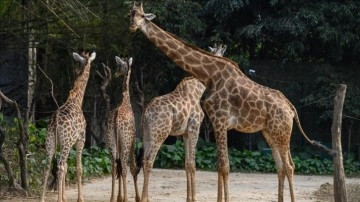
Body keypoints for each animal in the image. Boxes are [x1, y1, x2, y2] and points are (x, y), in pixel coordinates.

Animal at [40, 51, 95, 202]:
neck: (77, 99)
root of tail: (55, 120)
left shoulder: (67, 143)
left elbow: (67, 166)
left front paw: (64, 197)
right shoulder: (80, 140)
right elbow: (78, 168)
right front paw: (80, 198)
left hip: (51, 141)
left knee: (48, 166)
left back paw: (42, 198)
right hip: (65, 142)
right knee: (59, 166)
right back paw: (58, 199)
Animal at [129, 1, 330, 202]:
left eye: (142, 16)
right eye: (130, 15)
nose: (132, 26)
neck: (208, 75)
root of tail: (291, 107)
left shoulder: (219, 120)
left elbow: (224, 166)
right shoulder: (217, 122)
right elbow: (220, 165)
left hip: (281, 131)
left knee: (289, 166)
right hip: (270, 132)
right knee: (281, 166)